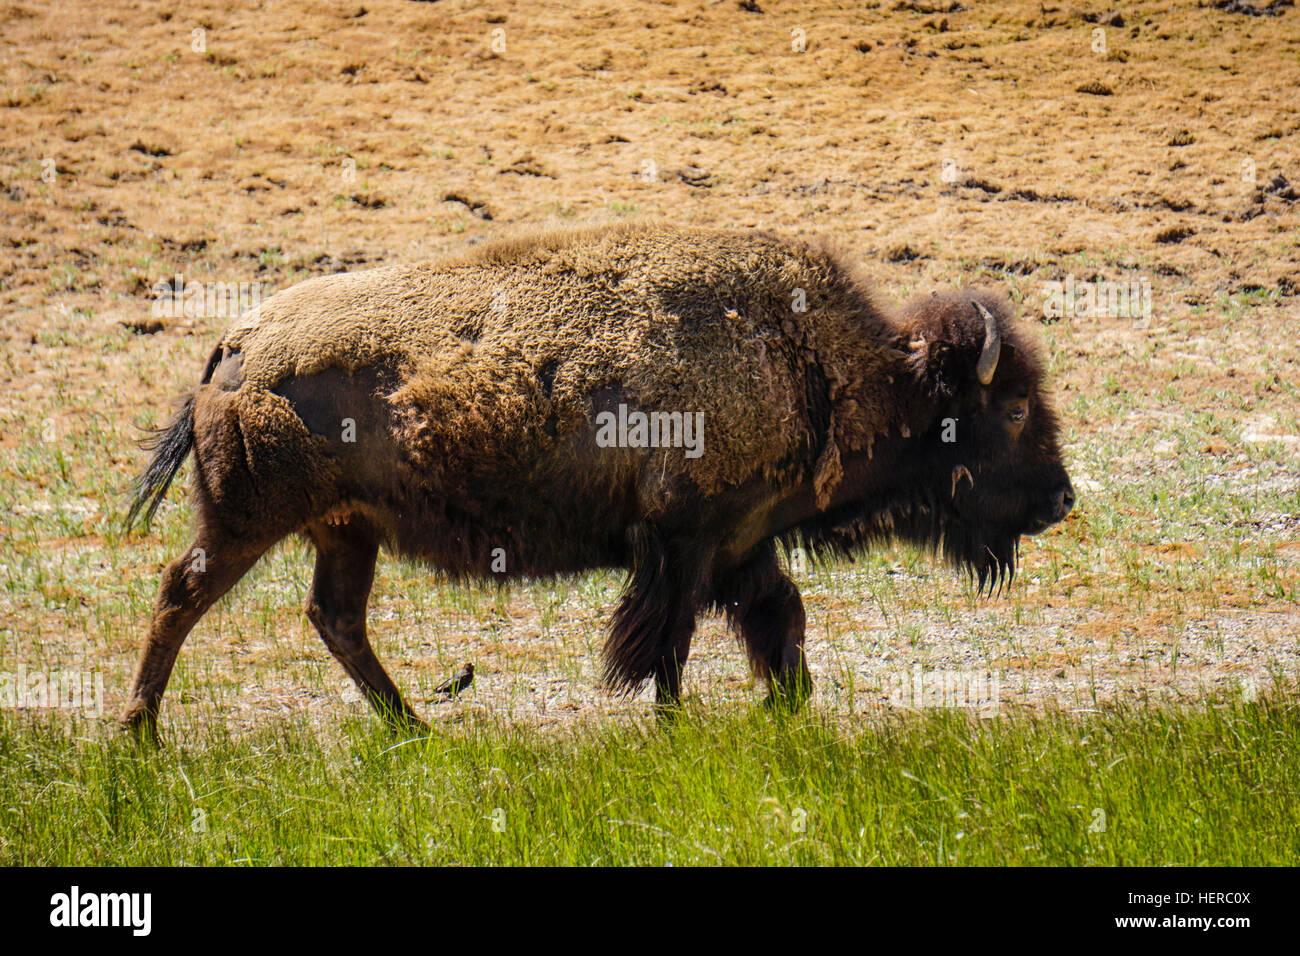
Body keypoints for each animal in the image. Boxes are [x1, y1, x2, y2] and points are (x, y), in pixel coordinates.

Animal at [124, 222, 1076, 733]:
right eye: (1014, 409)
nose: (1063, 499)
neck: (816, 362)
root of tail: (233, 346)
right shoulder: (688, 543)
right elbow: (670, 643)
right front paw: (676, 726)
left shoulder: (740, 543)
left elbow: (776, 621)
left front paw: (788, 709)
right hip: (249, 521)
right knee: (182, 595)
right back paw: (141, 738)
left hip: (346, 530)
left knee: (336, 618)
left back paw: (416, 734)